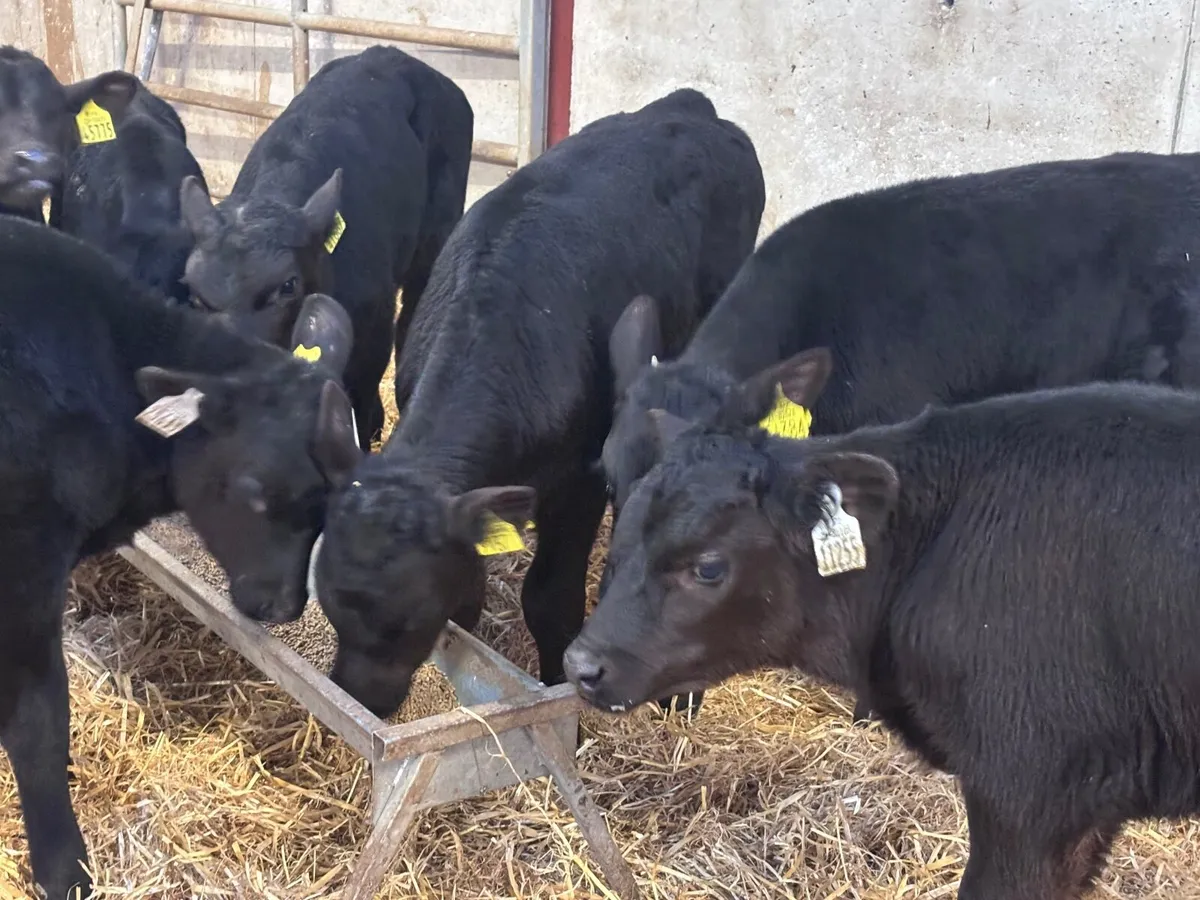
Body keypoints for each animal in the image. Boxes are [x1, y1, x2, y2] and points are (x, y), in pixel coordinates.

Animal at [0, 214, 360, 900]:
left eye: (335, 494)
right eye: (256, 490)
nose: (283, 606)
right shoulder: (24, 570)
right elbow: (37, 721)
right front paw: (65, 868)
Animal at [307, 88, 766, 719]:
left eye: (410, 621)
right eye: (329, 601)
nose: (358, 701)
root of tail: (690, 105)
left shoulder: (580, 482)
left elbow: (550, 599)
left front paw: (560, 690)